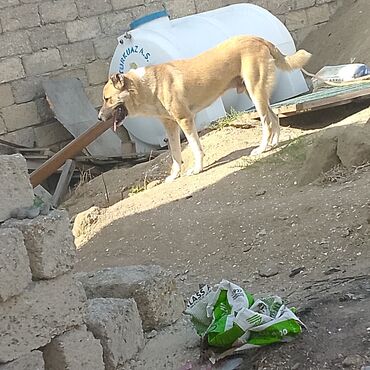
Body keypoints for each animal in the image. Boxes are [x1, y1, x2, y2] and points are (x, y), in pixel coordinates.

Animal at [97, 35, 310, 183]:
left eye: (107, 99)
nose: (99, 118)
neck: (147, 86)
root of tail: (257, 37)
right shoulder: (170, 126)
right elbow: (175, 154)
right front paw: (174, 176)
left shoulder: (185, 120)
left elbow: (195, 147)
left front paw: (197, 169)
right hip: (256, 94)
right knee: (274, 117)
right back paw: (274, 143)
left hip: (255, 91)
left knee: (266, 121)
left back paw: (262, 148)